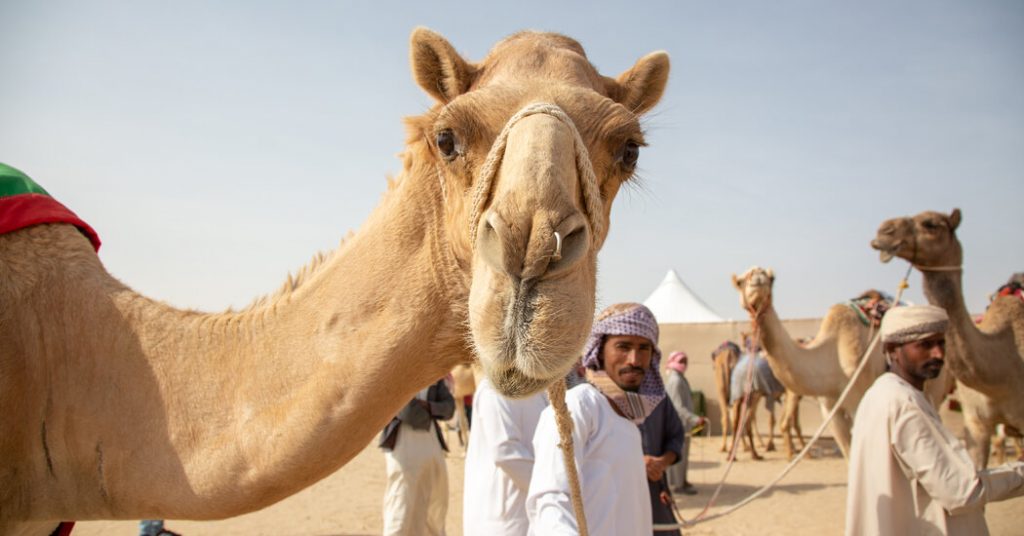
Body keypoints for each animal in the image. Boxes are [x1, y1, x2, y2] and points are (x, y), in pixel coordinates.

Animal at [733, 266, 946, 459]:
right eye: (740, 281)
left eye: (772, 278)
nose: (758, 276)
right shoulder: (829, 408)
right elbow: (848, 454)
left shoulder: (858, 398)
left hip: (933, 383)